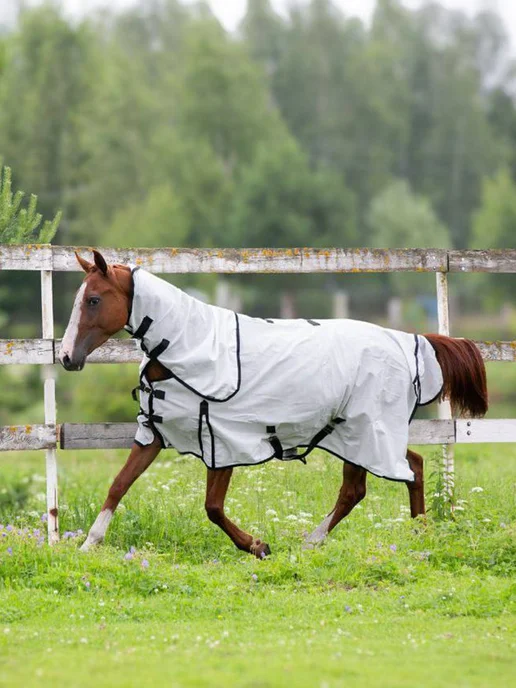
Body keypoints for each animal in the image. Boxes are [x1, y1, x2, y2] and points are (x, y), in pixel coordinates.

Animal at [59, 250, 488, 558]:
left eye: (93, 299)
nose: (66, 357)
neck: (188, 351)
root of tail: (407, 340)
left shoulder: (222, 442)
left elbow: (212, 507)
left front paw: (258, 546)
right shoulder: (155, 432)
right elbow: (119, 484)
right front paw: (89, 544)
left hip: (366, 431)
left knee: (382, 479)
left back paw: (339, 539)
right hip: (354, 433)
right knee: (396, 472)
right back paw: (408, 533)